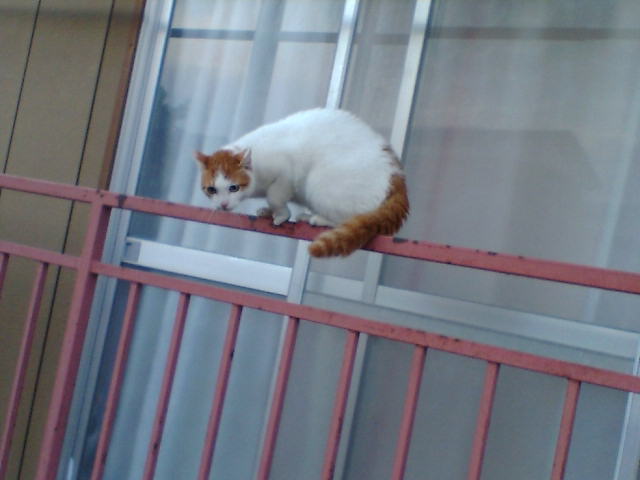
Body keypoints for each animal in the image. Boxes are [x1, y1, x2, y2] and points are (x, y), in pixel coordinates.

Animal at [194, 108, 409, 257]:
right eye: (212, 190)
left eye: (233, 188)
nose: (223, 205)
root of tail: (397, 173)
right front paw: (267, 211)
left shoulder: (285, 171)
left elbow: (275, 196)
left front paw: (280, 214)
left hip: (319, 183)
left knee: (349, 216)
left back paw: (315, 218)